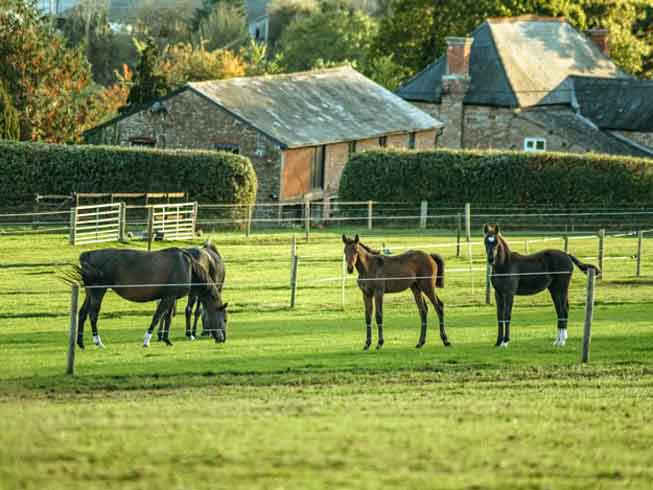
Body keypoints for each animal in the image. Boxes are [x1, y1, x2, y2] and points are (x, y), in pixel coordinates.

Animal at [71, 249, 228, 348]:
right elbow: (157, 317)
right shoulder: (168, 298)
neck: (188, 267)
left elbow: (167, 317)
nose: (223, 339)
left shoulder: (170, 298)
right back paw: (98, 342)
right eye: (225, 319)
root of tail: (87, 255)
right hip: (98, 292)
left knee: (83, 313)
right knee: (93, 315)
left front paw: (166, 340)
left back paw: (80, 343)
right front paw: (147, 341)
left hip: (90, 293)